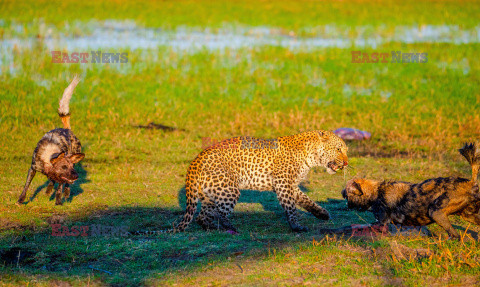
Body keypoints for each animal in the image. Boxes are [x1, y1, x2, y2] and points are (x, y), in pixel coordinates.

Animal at [17, 75, 85, 206]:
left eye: (70, 167)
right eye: (64, 167)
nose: (76, 175)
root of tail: (67, 129)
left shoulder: (62, 176)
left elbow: (59, 188)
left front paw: (58, 202)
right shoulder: (32, 169)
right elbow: (26, 186)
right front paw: (21, 200)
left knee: (63, 184)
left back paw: (65, 193)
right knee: (52, 180)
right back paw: (48, 190)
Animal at [174, 131, 346, 234]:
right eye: (338, 149)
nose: (346, 162)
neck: (311, 155)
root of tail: (195, 161)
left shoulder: (289, 185)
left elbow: (305, 199)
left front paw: (322, 213)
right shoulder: (283, 183)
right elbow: (291, 207)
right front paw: (296, 226)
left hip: (210, 194)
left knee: (201, 217)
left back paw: (210, 228)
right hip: (228, 190)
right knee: (221, 214)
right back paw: (230, 228)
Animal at [342, 143, 480, 240]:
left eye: (347, 191)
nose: (341, 192)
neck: (376, 192)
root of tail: (469, 182)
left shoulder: (381, 223)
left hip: (436, 212)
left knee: (455, 235)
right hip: (470, 215)